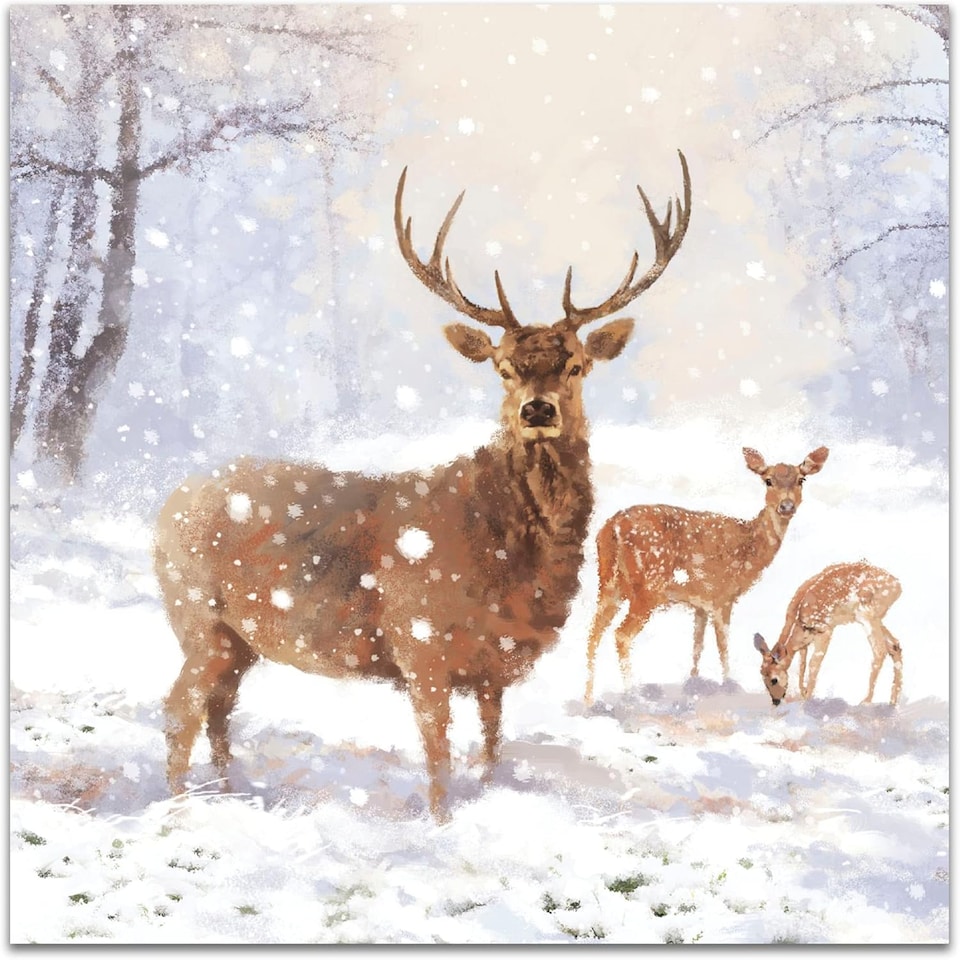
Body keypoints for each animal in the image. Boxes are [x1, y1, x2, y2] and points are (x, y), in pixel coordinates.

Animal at [154, 151, 693, 819]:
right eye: (503, 367)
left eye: (575, 364)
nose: (537, 410)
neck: (510, 562)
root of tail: (165, 507)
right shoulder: (421, 641)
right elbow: (437, 754)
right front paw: (440, 821)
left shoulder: (493, 663)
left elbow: (490, 744)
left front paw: (489, 794)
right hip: (197, 617)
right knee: (179, 709)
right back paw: (179, 810)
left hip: (237, 638)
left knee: (218, 707)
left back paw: (230, 794)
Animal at [583, 445, 829, 704]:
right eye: (768, 480)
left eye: (801, 479)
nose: (787, 506)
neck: (749, 550)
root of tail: (612, 528)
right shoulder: (723, 596)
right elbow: (723, 644)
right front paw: (728, 685)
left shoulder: (700, 602)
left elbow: (697, 645)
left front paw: (693, 683)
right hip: (648, 589)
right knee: (621, 635)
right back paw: (632, 694)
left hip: (610, 583)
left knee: (593, 634)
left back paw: (588, 697)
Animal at [753, 561, 903, 707]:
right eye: (763, 680)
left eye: (774, 680)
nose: (775, 701)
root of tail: (897, 585)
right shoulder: (806, 642)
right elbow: (802, 664)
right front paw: (803, 692)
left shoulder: (825, 629)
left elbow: (813, 664)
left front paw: (807, 699)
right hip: (875, 617)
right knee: (894, 645)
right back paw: (893, 702)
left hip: (866, 613)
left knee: (880, 650)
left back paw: (866, 700)